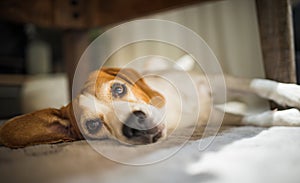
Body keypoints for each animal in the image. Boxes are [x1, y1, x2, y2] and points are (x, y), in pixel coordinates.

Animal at [0, 63, 300, 148]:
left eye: (118, 89)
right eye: (93, 125)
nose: (133, 126)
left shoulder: (214, 80)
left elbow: (261, 84)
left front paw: (292, 93)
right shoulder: (214, 117)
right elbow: (258, 117)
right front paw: (288, 117)